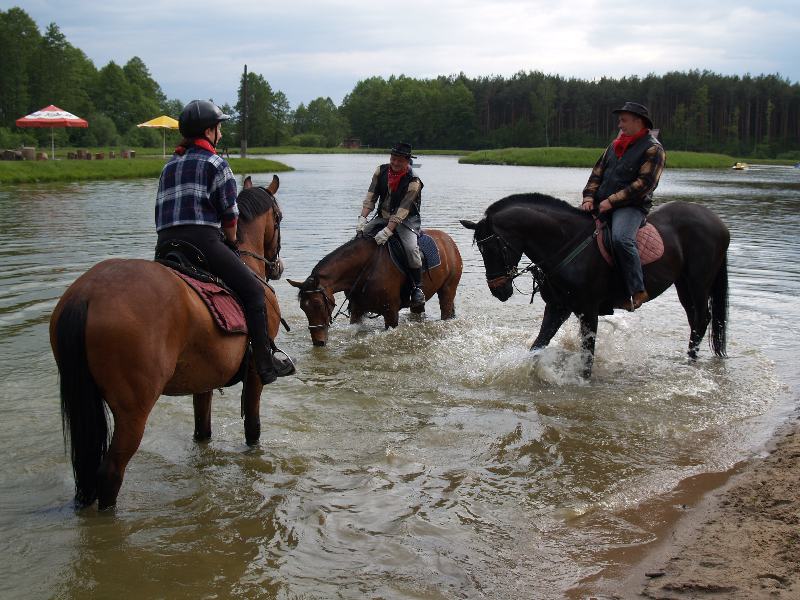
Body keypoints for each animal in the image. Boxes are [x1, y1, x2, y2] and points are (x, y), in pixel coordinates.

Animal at [462, 195, 732, 378]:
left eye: (494, 247)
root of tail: (718, 222)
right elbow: (538, 345)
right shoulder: (558, 307)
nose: (498, 290)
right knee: (695, 320)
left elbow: (587, 357)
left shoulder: (588, 311)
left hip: (698, 282)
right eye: (481, 249)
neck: (566, 244)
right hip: (683, 284)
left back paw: (692, 360)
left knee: (702, 319)